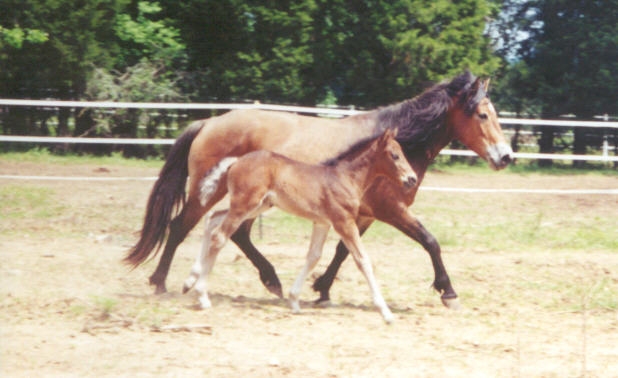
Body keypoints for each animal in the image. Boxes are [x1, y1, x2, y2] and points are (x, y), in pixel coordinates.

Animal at [182, 129, 414, 322]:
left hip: (256, 205)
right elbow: (362, 260)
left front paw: (294, 301)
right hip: (245, 205)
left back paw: (190, 280)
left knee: (212, 218)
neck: (344, 178)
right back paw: (202, 295)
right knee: (219, 235)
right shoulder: (344, 222)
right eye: (394, 155)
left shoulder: (322, 223)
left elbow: (313, 256)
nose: (411, 179)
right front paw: (385, 312)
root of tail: (236, 161)